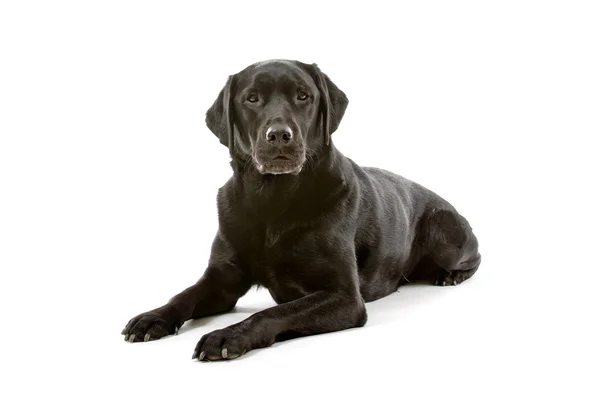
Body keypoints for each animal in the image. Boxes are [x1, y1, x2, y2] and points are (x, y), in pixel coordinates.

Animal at [122, 60, 482, 362]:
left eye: (303, 96)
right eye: (251, 99)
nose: (280, 135)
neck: (272, 202)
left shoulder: (344, 297)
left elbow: (271, 312)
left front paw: (226, 336)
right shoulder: (222, 279)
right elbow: (184, 295)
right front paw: (152, 317)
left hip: (442, 230)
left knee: (474, 257)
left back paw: (449, 275)